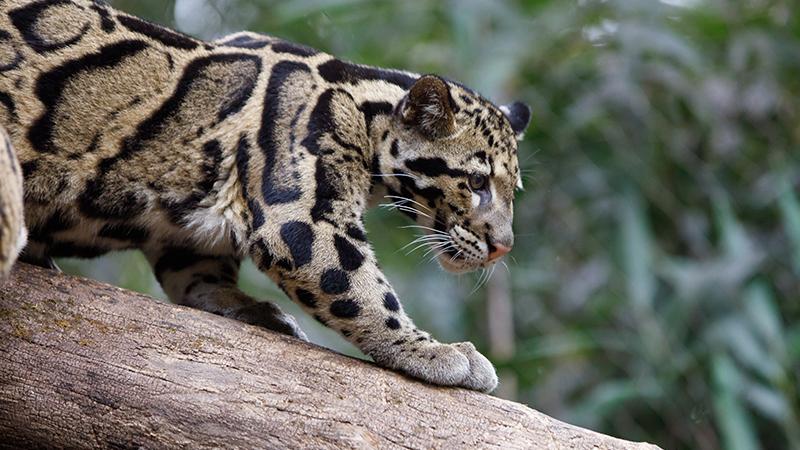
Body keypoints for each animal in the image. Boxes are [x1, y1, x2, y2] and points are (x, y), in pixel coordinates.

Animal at [0, 0, 530, 393]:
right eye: (477, 183)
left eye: (513, 190)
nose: (504, 246)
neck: (366, 111)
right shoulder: (299, 219)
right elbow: (359, 289)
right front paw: (434, 352)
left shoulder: (190, 234)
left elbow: (195, 273)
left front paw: (245, 306)